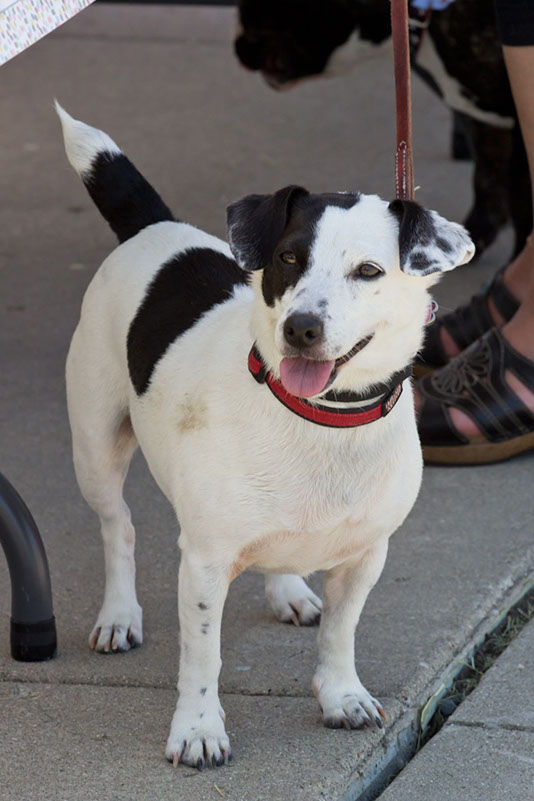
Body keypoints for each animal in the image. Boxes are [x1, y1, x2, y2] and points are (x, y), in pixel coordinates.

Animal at [58, 106, 476, 768]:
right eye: (287, 259)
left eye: (369, 271)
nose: (300, 327)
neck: (319, 420)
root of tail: (156, 229)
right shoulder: (204, 562)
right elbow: (203, 658)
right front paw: (198, 729)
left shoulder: (365, 555)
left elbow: (340, 633)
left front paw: (341, 695)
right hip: (95, 449)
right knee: (117, 526)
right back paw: (120, 614)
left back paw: (289, 590)